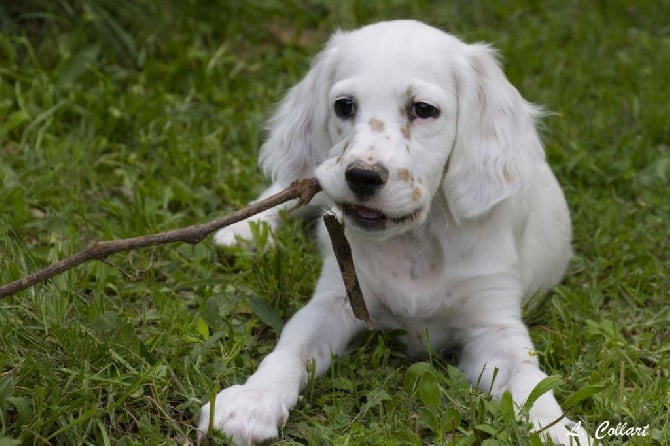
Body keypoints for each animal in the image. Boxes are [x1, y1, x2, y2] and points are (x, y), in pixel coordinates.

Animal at [202, 19, 592, 444]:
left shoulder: (495, 327)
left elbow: (531, 383)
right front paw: (252, 401)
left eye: (423, 110)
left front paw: (557, 429)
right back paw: (245, 229)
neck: (417, 239)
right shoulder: (336, 300)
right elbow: (291, 348)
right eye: (344, 106)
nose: (361, 176)